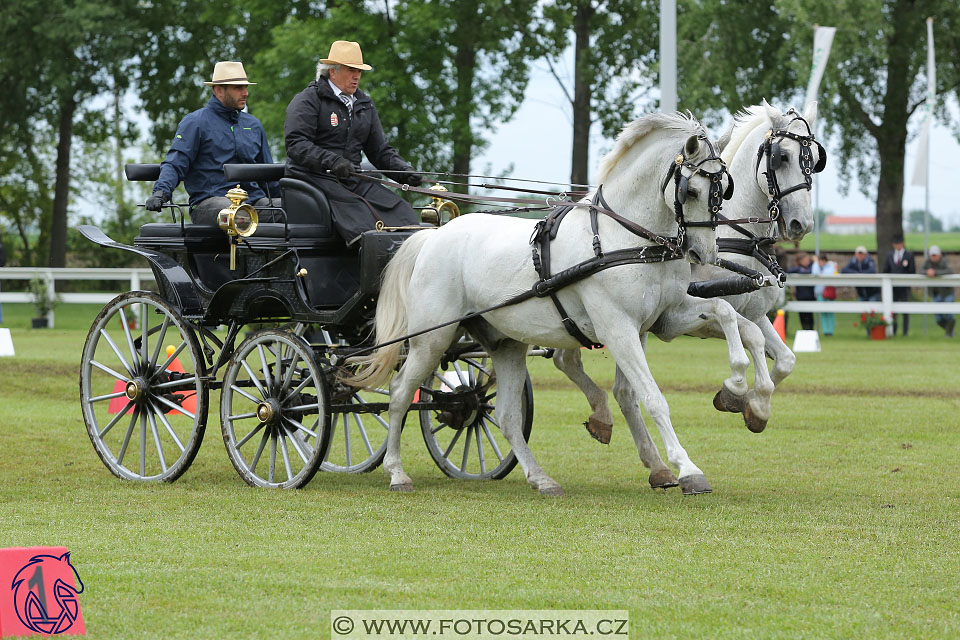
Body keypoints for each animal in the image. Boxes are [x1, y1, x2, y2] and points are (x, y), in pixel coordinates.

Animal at [350, 112, 772, 496]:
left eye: (723, 190)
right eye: (692, 192)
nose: (703, 253)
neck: (626, 238)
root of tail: (433, 235)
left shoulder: (663, 319)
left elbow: (728, 315)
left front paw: (738, 388)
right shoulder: (618, 329)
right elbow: (653, 399)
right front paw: (688, 469)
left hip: (505, 344)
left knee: (506, 416)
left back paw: (541, 479)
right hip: (431, 339)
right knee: (400, 394)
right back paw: (396, 472)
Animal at [556, 101, 816, 464]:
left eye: (815, 160)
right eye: (782, 157)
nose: (800, 223)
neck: (735, 236)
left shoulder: (753, 312)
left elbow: (783, 358)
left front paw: (752, 404)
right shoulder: (681, 319)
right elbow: (746, 338)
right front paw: (737, 392)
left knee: (578, 365)